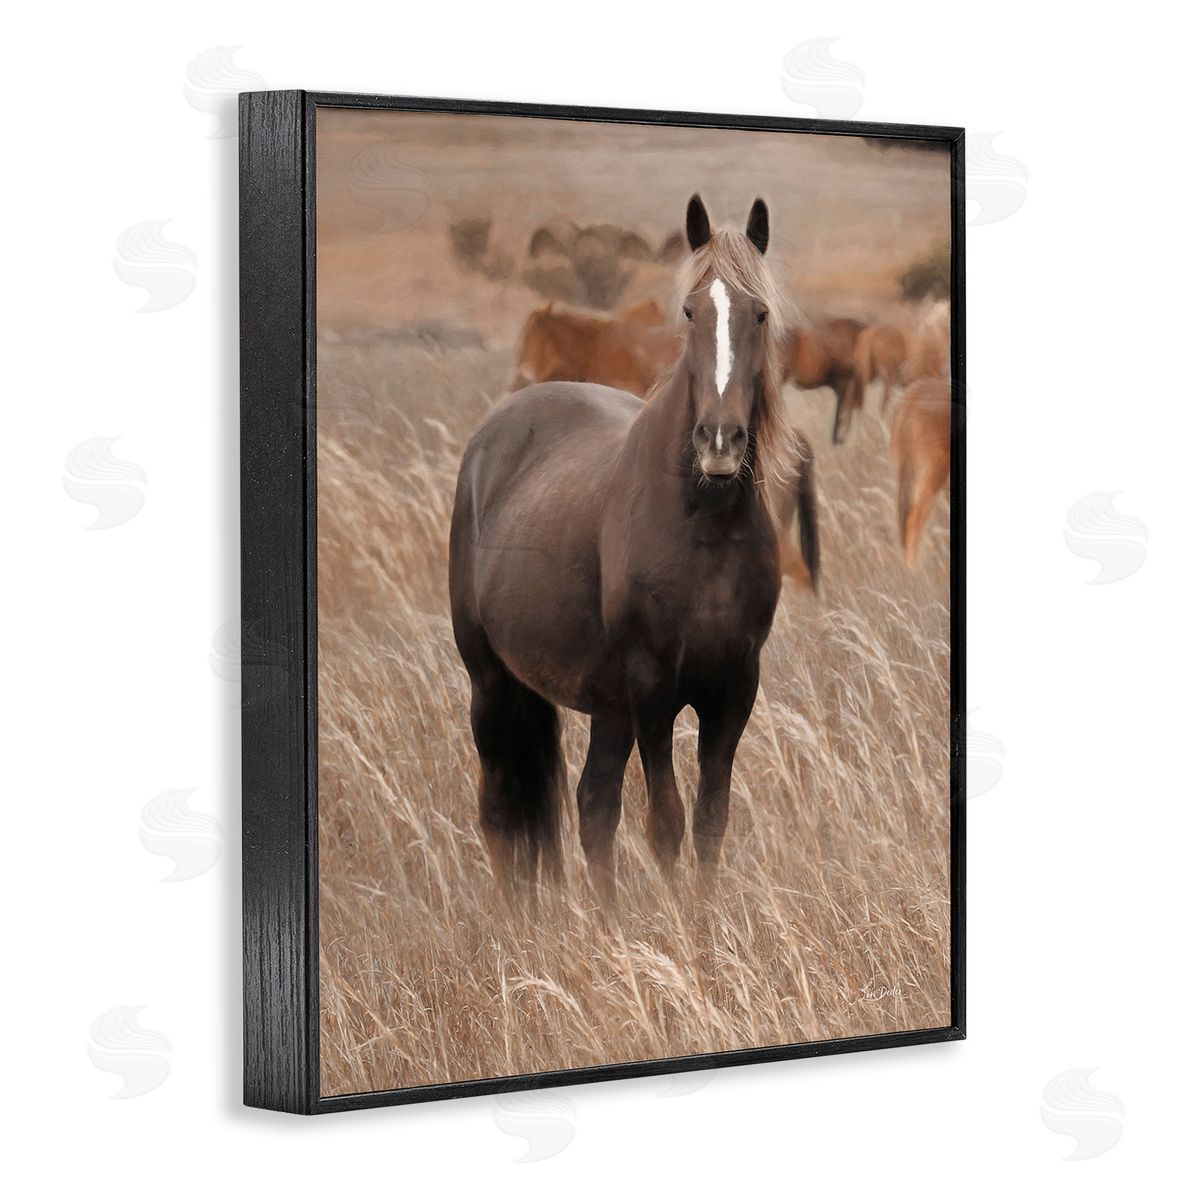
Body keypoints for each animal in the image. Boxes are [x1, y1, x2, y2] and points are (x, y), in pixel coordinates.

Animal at [450, 195, 795, 898]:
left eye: (760, 313)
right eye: (690, 311)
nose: (719, 443)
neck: (704, 527)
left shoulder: (732, 690)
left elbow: (710, 823)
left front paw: (705, 922)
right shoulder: (652, 689)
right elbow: (666, 823)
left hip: (604, 705)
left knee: (592, 809)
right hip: (492, 681)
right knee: (499, 812)